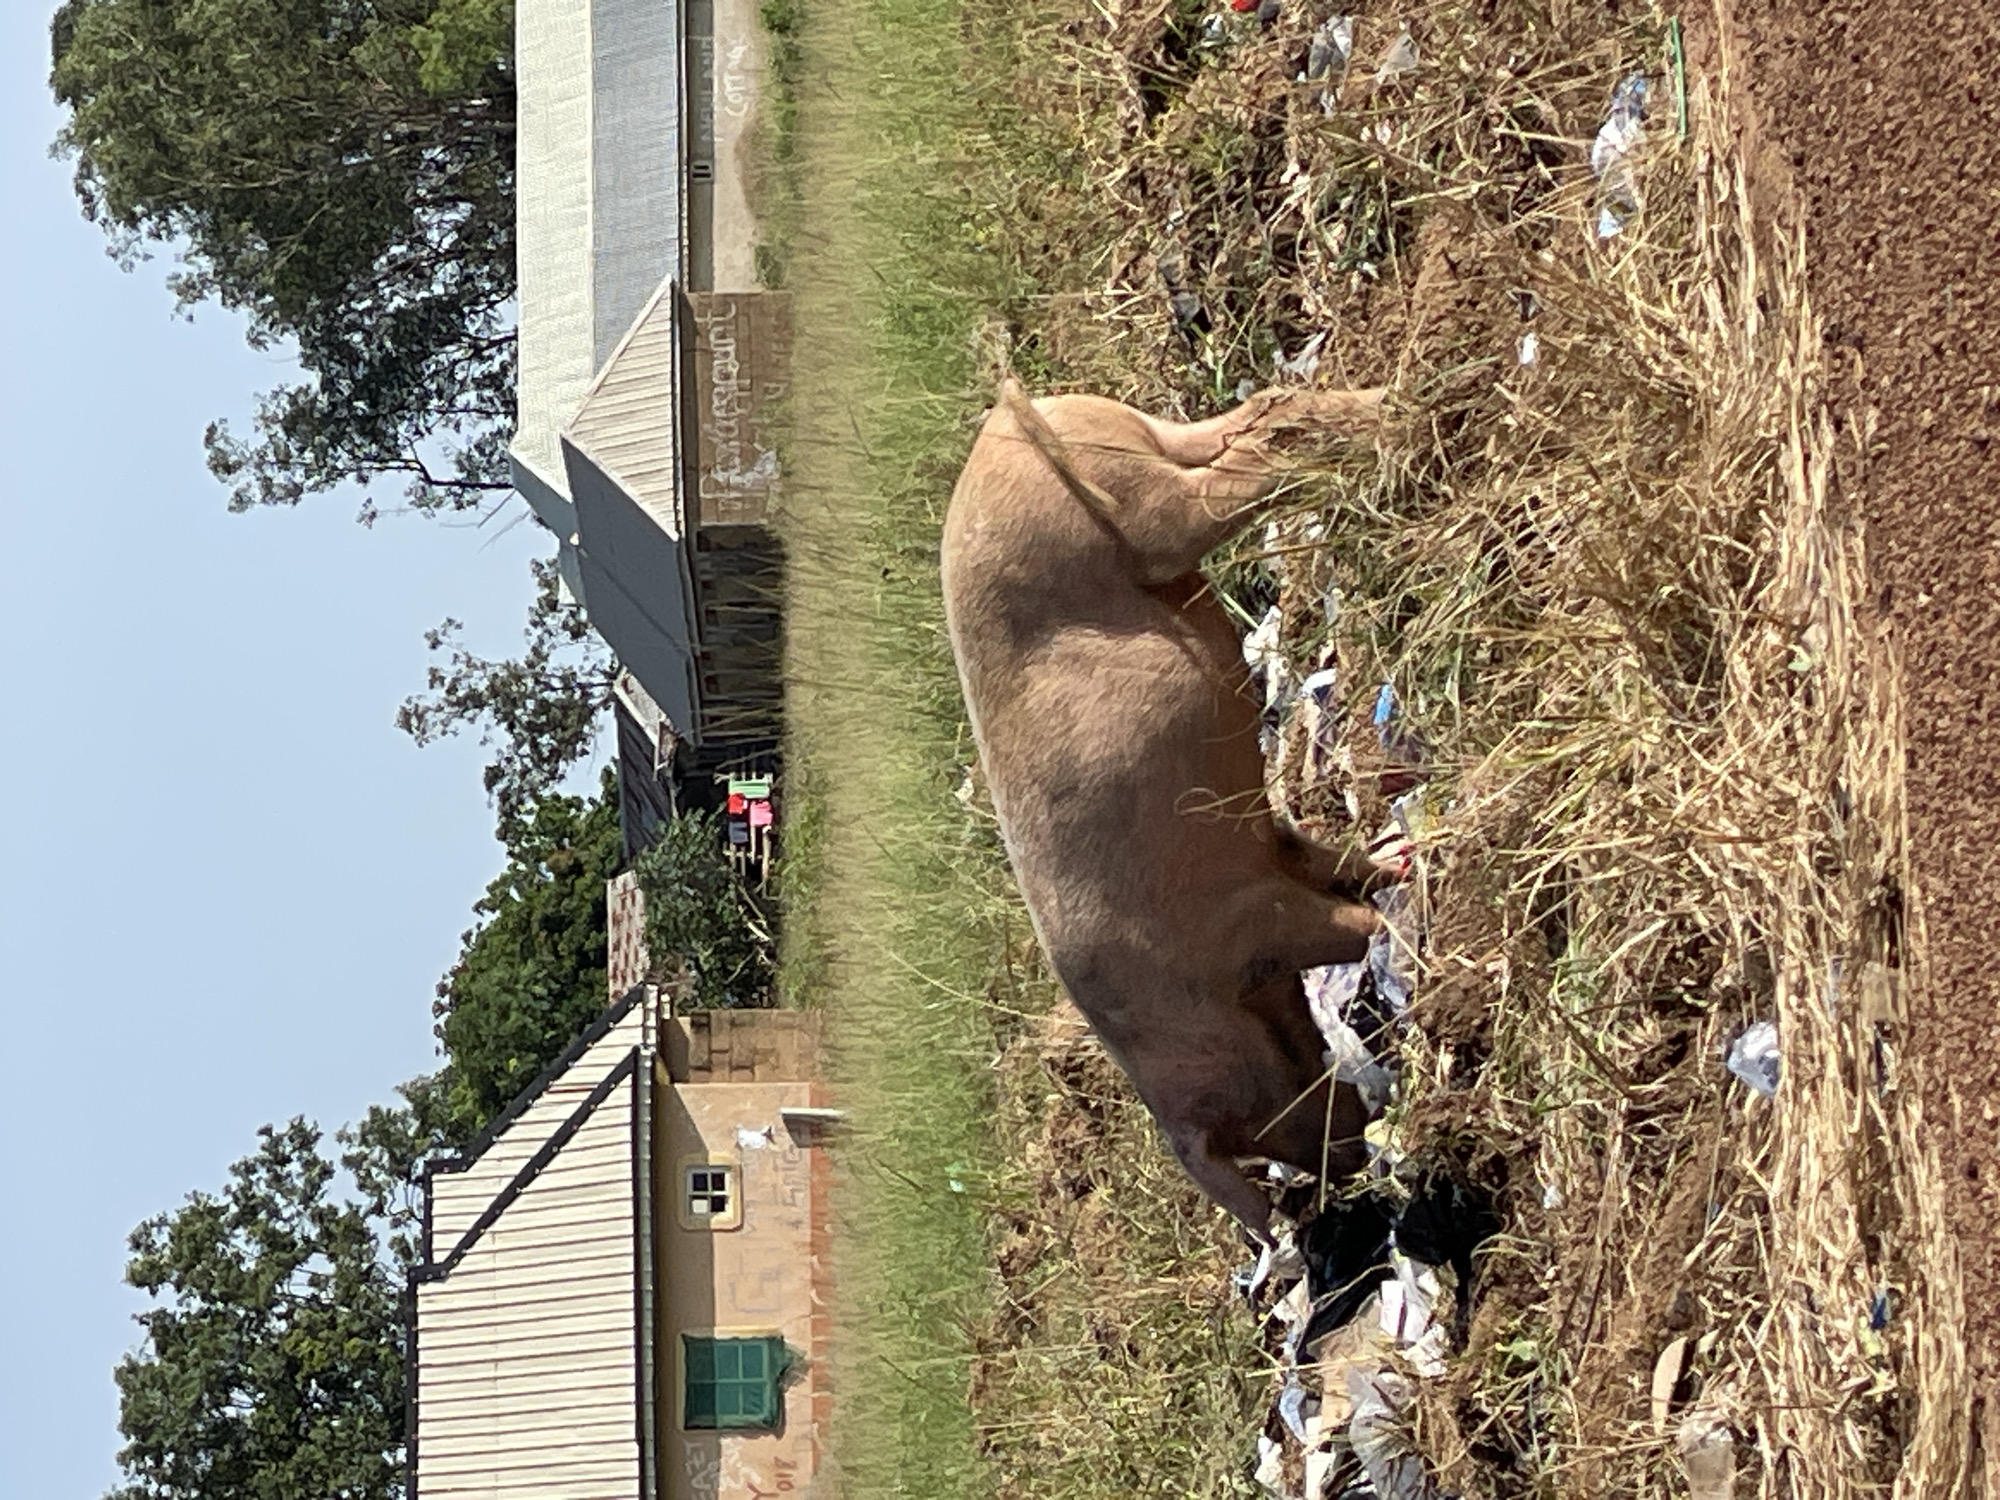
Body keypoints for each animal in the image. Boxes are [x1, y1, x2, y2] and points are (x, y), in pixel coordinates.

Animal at [941, 377, 1396, 1241]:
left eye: (1239, 1136)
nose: (1352, 1154)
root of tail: (1007, 423)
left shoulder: (1250, 922)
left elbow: (1348, 925)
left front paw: (1395, 921)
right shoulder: (1272, 850)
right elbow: (1335, 864)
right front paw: (1395, 864)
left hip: (1140, 514)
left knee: (1231, 474)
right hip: (1142, 439)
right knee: (1254, 423)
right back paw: (1357, 408)